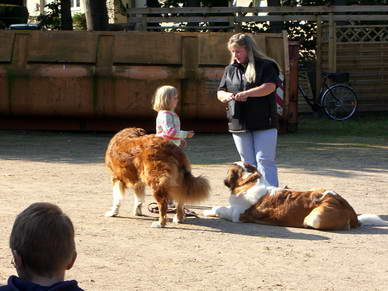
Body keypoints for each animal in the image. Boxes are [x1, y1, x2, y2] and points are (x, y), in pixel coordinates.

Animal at [205, 163, 386, 232]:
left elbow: (221, 208)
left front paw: (210, 211)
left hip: (315, 217)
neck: (248, 181)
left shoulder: (237, 214)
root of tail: (349, 210)